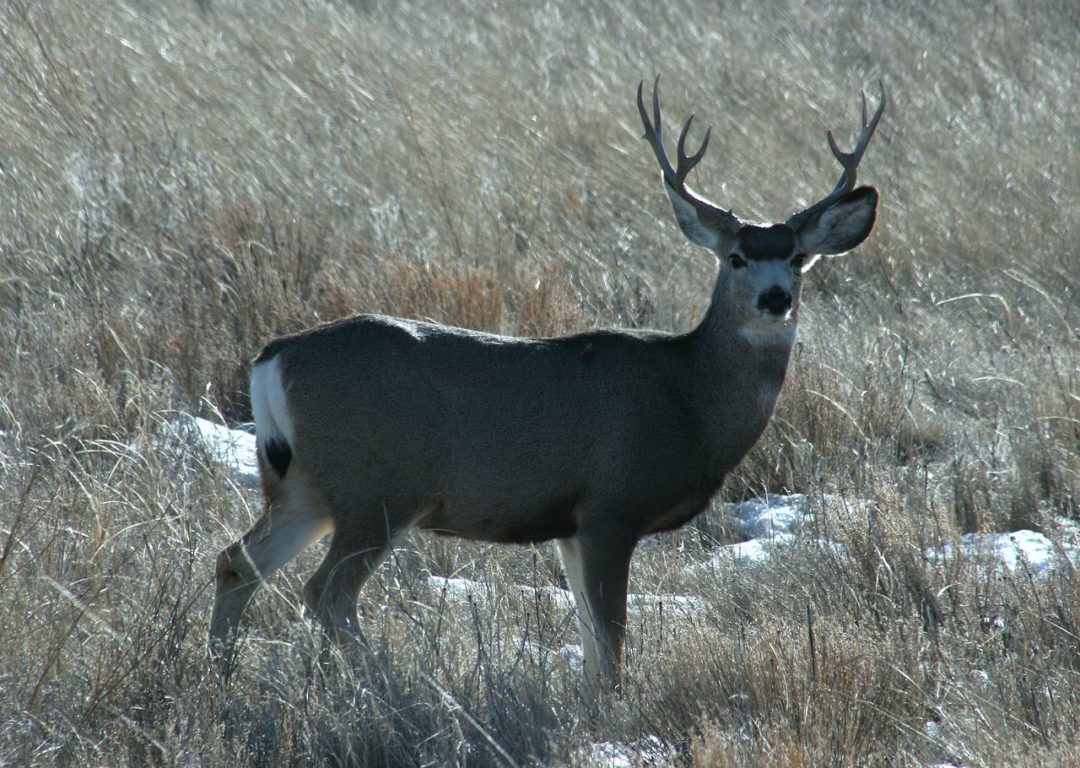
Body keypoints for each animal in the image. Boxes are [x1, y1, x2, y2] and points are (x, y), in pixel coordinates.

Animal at [208, 76, 885, 695]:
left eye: (796, 257)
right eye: (736, 257)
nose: (776, 298)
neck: (689, 397)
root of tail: (271, 357)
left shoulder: (568, 524)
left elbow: (589, 637)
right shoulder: (611, 505)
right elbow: (610, 639)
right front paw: (612, 714)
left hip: (303, 485)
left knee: (237, 562)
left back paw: (219, 675)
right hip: (375, 487)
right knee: (324, 592)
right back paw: (391, 686)